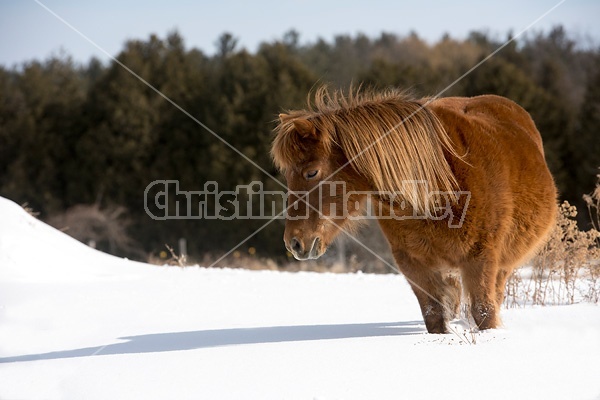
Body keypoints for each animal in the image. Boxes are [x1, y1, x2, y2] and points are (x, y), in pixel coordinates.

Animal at [272, 88, 556, 334]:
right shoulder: (413, 264)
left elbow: (484, 313)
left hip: (501, 265)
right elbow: (434, 316)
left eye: (311, 172)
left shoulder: (481, 259)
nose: (294, 243)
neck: (441, 186)